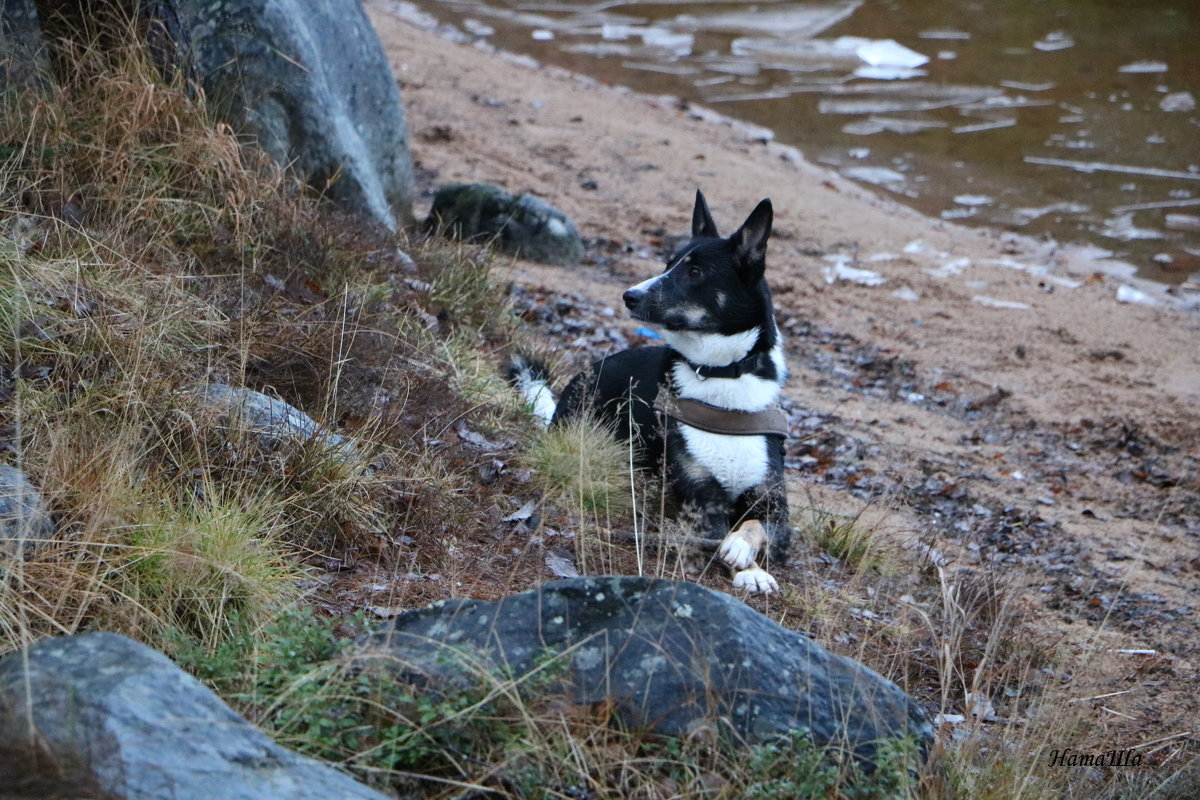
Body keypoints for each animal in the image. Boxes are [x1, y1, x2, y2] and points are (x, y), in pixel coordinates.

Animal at [513, 190, 787, 592]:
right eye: (667, 264)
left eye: (695, 272)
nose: (629, 295)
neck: (722, 374)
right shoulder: (700, 501)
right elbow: (719, 535)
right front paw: (748, 567)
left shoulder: (775, 504)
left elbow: (755, 525)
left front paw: (745, 551)